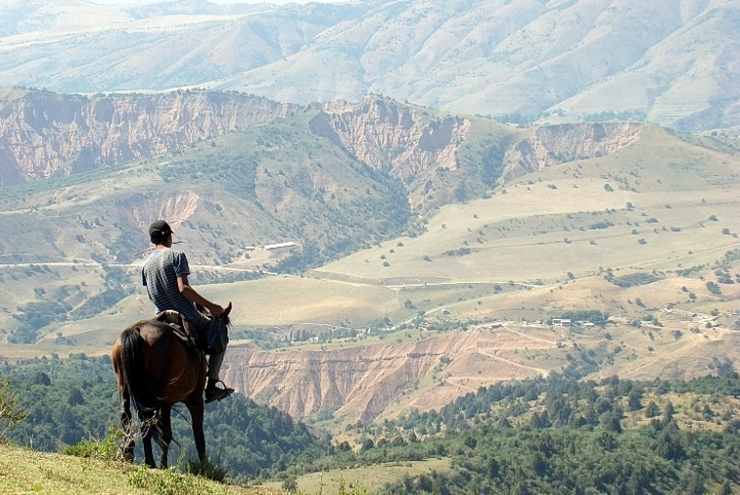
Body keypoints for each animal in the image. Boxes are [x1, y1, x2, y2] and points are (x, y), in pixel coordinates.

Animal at [110, 306, 228, 468]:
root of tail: (137, 330)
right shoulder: (194, 399)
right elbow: (197, 432)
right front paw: (204, 466)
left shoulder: (167, 402)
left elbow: (167, 433)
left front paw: (163, 464)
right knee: (148, 418)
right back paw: (150, 461)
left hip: (124, 383)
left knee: (127, 414)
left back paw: (129, 451)